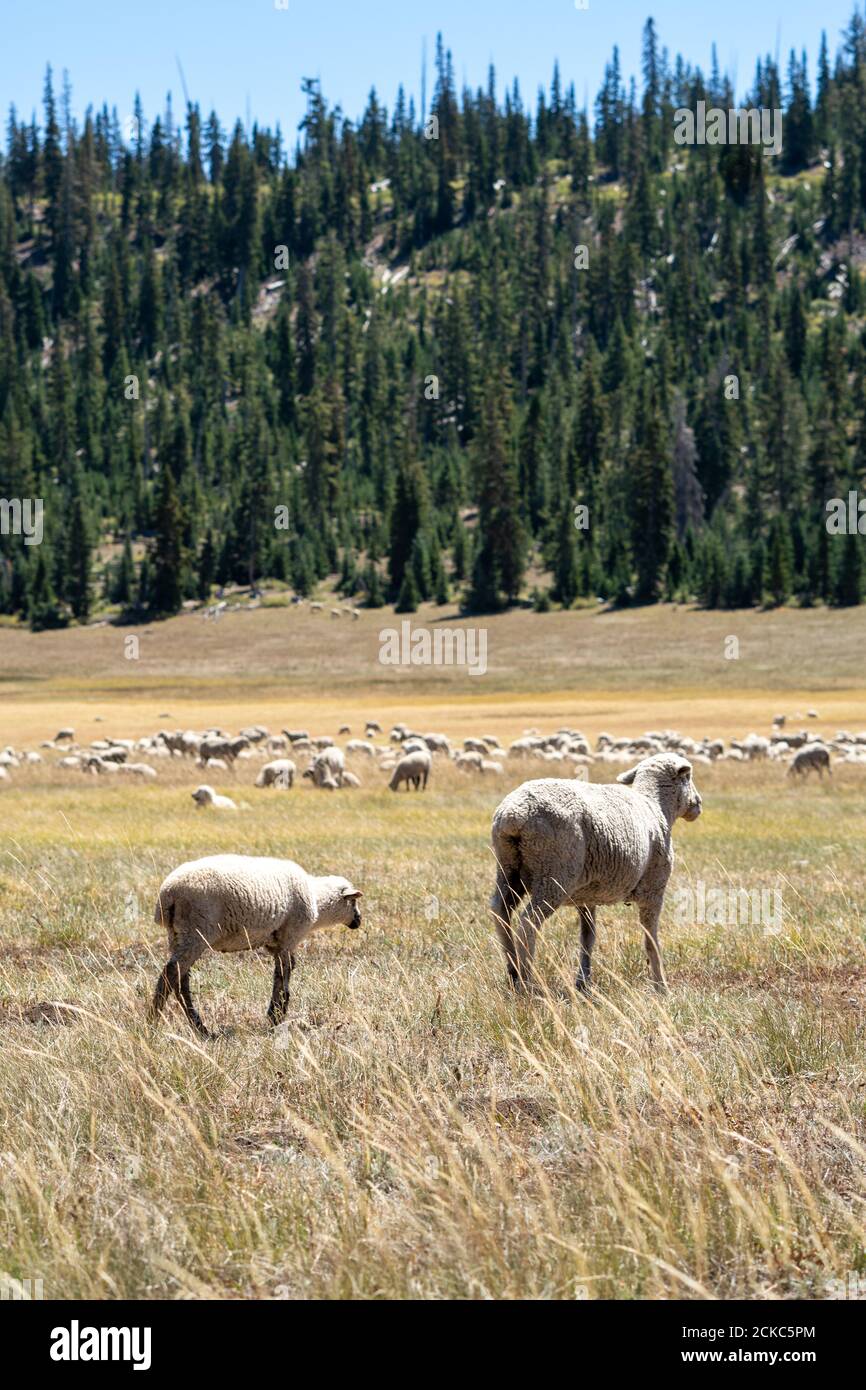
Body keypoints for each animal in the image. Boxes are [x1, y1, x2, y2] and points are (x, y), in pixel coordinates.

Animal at [151, 854, 363, 1036]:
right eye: (353, 902)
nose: (359, 920)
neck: (317, 899)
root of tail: (167, 894)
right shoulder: (288, 938)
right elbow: (285, 975)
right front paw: (278, 1015)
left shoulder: (275, 944)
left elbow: (279, 975)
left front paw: (274, 1014)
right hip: (196, 933)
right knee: (170, 974)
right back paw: (154, 1020)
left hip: (177, 935)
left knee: (180, 981)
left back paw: (198, 1027)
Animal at [489, 752, 702, 994]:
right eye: (689, 777)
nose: (698, 804)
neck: (656, 806)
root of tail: (514, 814)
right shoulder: (654, 888)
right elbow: (651, 940)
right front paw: (661, 987)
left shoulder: (586, 897)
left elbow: (587, 938)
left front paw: (583, 982)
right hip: (554, 873)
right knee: (528, 923)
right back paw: (527, 983)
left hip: (508, 868)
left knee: (500, 911)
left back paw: (513, 972)